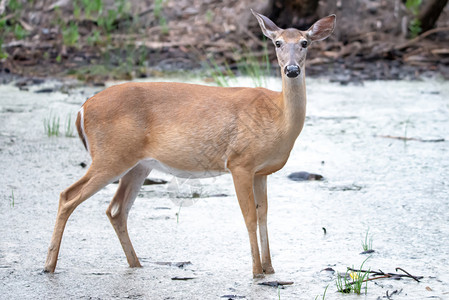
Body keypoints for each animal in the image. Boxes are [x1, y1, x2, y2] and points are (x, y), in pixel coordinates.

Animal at [43, 9, 334, 278]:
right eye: (277, 43)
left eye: (305, 42)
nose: (292, 69)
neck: (278, 117)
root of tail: (82, 109)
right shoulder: (239, 162)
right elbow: (249, 217)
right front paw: (256, 272)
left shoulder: (261, 171)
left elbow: (263, 216)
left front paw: (270, 269)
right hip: (110, 155)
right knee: (68, 196)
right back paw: (48, 266)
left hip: (137, 165)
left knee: (116, 209)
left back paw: (136, 264)